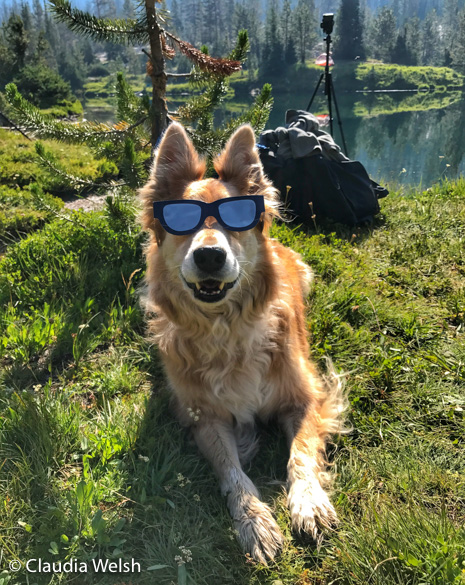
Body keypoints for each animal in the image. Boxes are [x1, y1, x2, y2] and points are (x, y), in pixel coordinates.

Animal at [138, 122, 344, 560]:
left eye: (236, 216)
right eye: (181, 219)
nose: (209, 257)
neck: (226, 328)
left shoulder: (307, 397)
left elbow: (301, 453)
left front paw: (308, 501)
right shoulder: (205, 416)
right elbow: (231, 470)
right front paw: (254, 521)